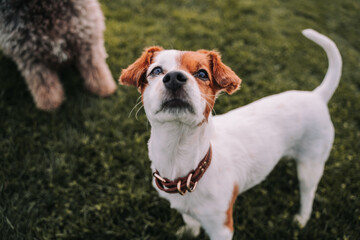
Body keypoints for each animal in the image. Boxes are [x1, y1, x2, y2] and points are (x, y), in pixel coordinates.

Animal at [119, 30, 342, 240]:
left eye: (202, 74)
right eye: (156, 71)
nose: (174, 77)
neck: (180, 159)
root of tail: (316, 95)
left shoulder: (221, 227)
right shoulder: (187, 210)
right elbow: (191, 221)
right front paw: (190, 232)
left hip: (311, 165)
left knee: (308, 194)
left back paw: (302, 219)